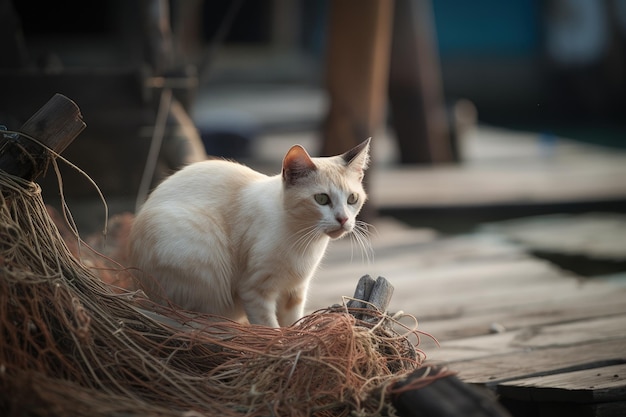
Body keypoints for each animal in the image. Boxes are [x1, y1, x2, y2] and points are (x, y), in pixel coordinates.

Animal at [128, 138, 370, 326]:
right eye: (321, 199)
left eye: (352, 199)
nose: (343, 219)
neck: (304, 241)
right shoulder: (255, 291)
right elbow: (270, 328)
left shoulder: (294, 292)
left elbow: (292, 326)